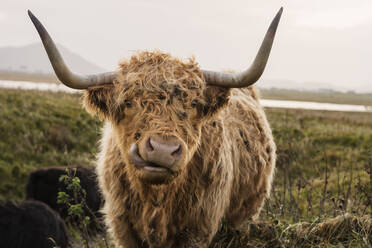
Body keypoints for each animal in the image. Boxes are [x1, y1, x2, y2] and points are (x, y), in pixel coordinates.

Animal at [29, 7, 284, 248]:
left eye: (193, 103)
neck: (157, 200)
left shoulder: (198, 229)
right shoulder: (123, 227)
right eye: (128, 102)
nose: (163, 150)